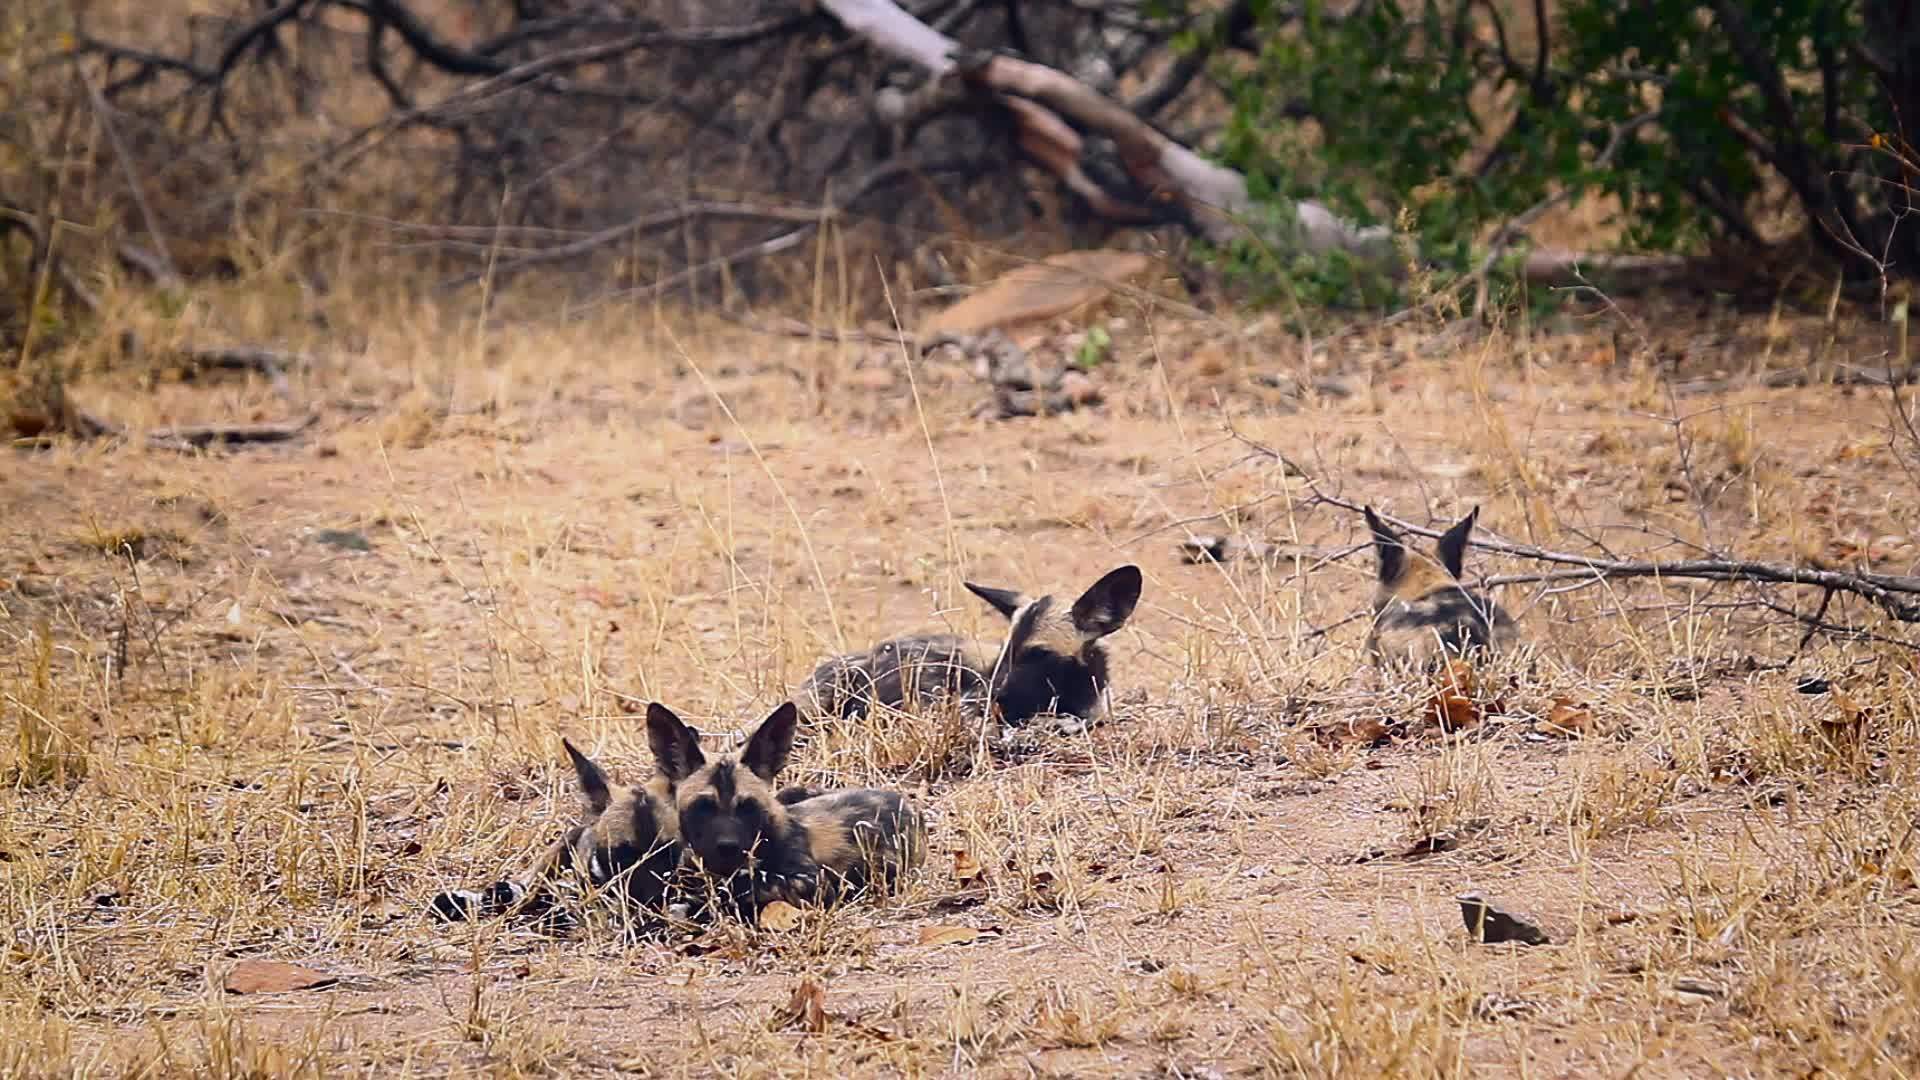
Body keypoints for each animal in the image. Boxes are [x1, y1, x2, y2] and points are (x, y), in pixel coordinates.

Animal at [648, 691, 925, 910]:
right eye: (703, 807)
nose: (728, 846)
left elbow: (743, 886)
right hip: (793, 793)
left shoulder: (812, 883)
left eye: (749, 808)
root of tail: (902, 800)